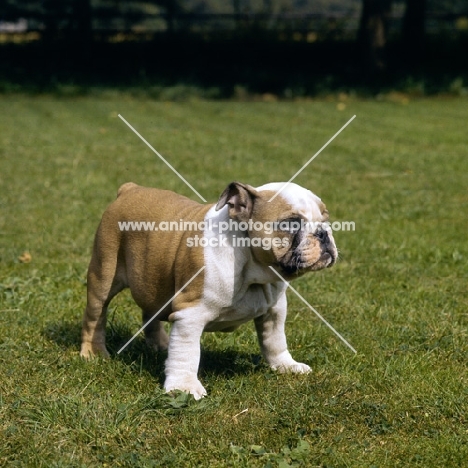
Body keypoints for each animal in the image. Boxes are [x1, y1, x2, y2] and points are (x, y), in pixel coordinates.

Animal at [81, 181, 336, 396]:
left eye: (325, 220)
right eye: (291, 223)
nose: (323, 233)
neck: (252, 271)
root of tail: (130, 189)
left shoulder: (275, 309)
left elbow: (275, 340)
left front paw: (285, 365)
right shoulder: (190, 315)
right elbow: (186, 354)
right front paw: (183, 387)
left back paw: (160, 345)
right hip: (102, 274)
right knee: (95, 317)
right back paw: (93, 353)